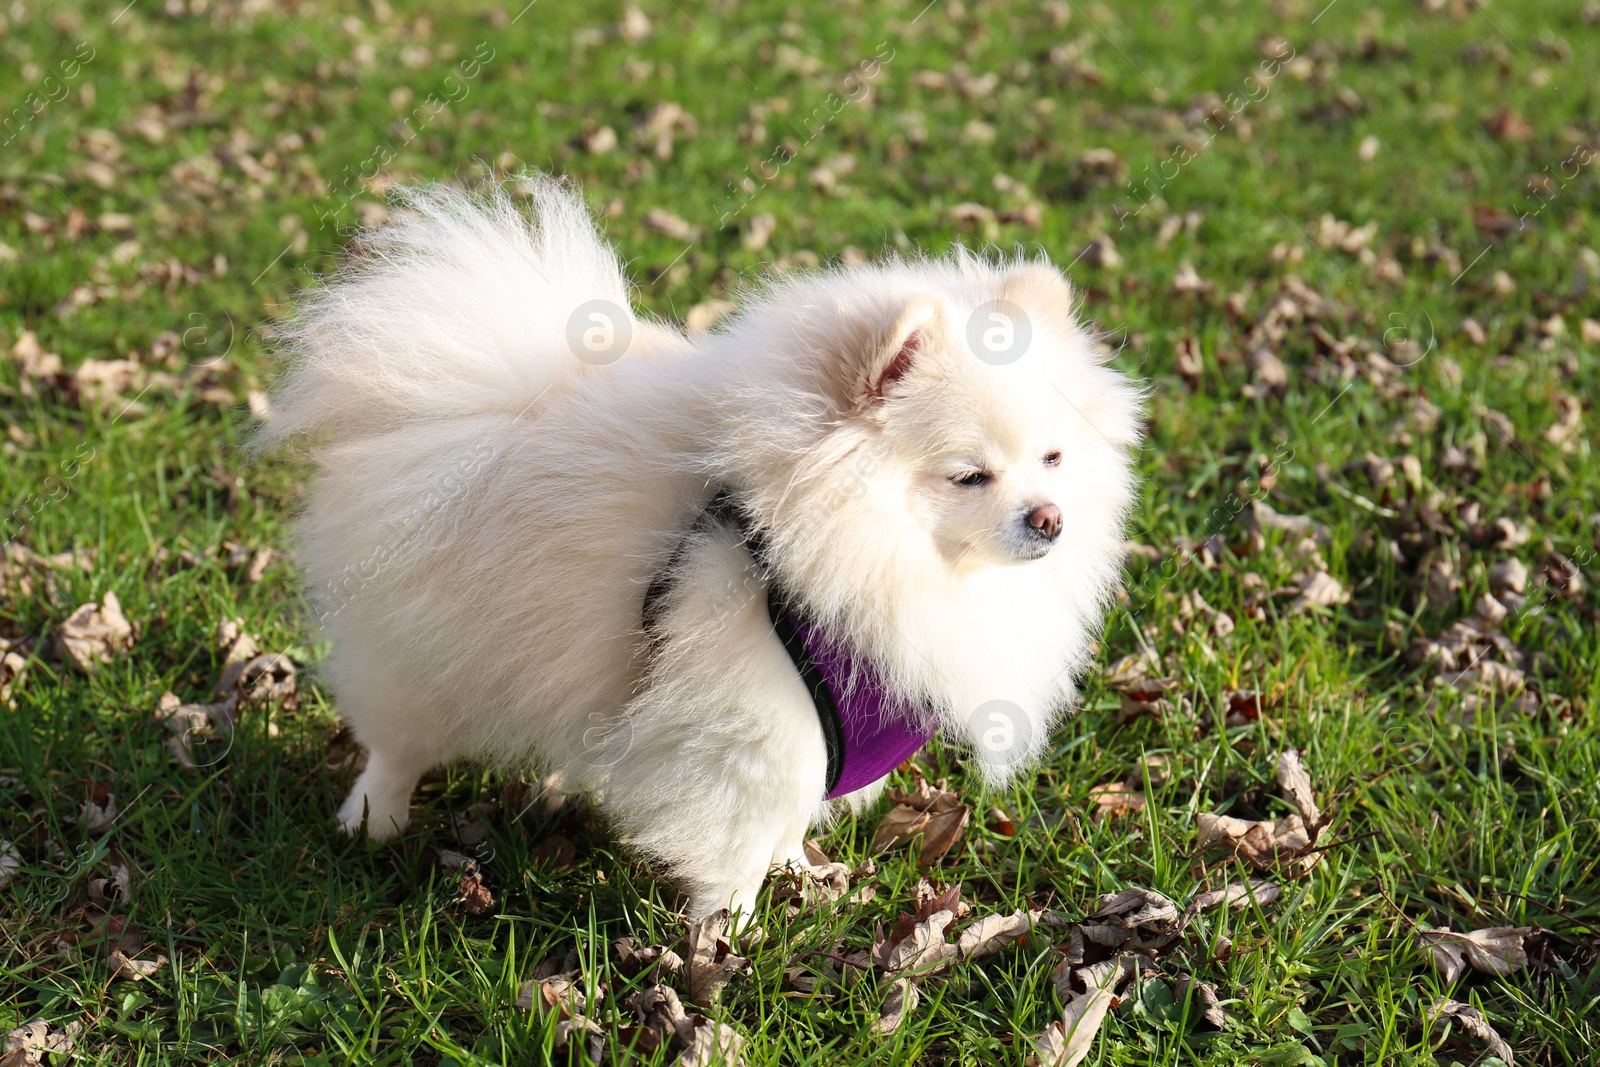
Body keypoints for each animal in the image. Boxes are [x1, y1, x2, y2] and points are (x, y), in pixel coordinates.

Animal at [259, 177, 1139, 921]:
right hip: (427, 653)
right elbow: (737, 839)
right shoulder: (748, 726)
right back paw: (373, 819)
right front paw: (730, 936)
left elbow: (788, 820)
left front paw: (797, 876)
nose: (1050, 518)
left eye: (1053, 458)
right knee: (395, 742)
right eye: (969, 475)